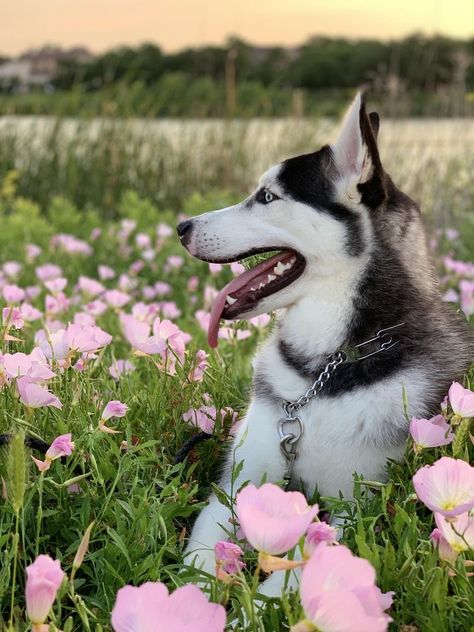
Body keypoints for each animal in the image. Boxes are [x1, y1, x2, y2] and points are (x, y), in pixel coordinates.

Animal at [176, 95, 472, 592]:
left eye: (267, 197)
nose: (181, 226)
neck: (319, 374)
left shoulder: (355, 511)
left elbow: (289, 582)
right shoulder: (236, 487)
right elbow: (195, 562)